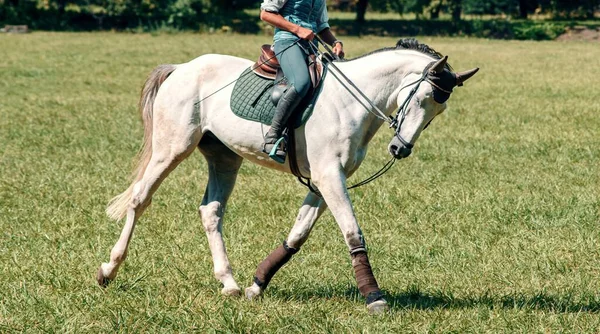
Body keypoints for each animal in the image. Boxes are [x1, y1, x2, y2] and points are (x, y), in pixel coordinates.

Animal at [98, 37, 478, 314]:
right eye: (424, 96)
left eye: (439, 109)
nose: (400, 148)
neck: (352, 101)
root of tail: (181, 68)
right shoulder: (329, 177)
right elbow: (352, 232)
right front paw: (374, 297)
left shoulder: (327, 180)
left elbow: (298, 234)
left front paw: (256, 285)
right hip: (172, 149)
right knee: (140, 199)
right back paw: (108, 270)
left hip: (224, 157)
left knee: (211, 211)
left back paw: (229, 283)